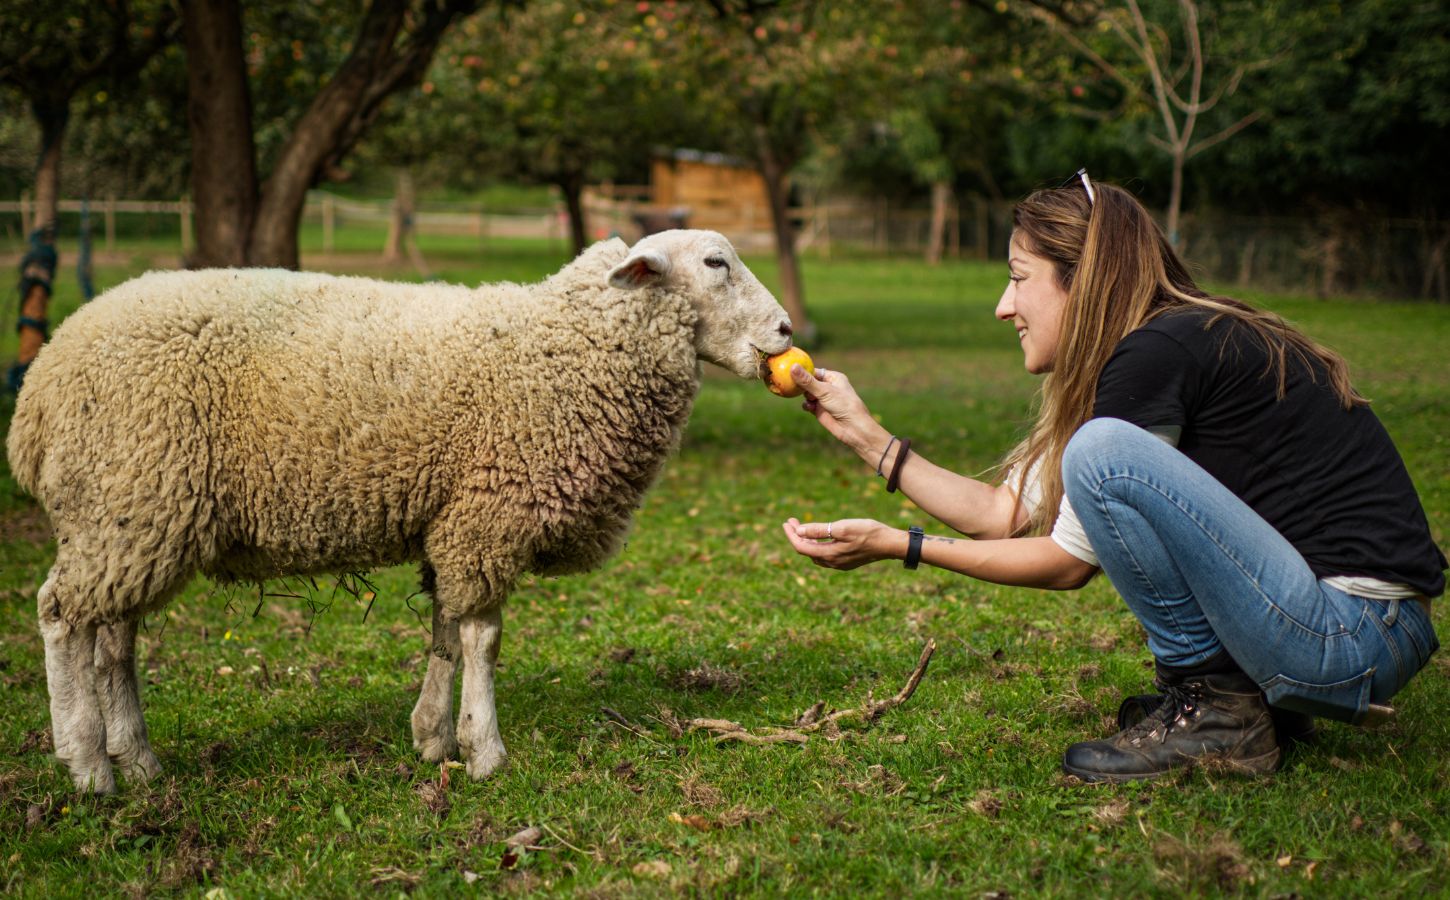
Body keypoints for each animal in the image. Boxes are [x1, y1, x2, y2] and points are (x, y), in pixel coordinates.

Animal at [8, 231, 794, 794]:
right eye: (716, 262)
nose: (786, 330)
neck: (563, 346)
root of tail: (39, 391)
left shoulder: (453, 522)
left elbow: (445, 632)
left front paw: (432, 739)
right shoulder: (487, 515)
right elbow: (482, 638)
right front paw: (486, 751)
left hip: (133, 515)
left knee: (113, 637)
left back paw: (138, 759)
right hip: (130, 495)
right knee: (61, 616)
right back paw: (87, 766)